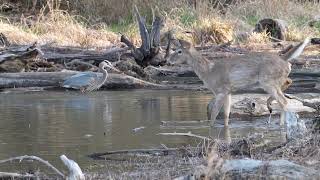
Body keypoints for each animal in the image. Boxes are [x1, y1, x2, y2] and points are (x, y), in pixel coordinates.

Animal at [168, 38, 310, 126]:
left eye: (179, 51)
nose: (168, 60)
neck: (208, 72)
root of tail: (284, 59)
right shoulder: (228, 92)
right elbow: (226, 114)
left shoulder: (221, 90)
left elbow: (214, 114)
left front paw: (210, 128)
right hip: (273, 81)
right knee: (288, 83)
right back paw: (270, 104)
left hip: (267, 81)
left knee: (283, 101)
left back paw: (280, 123)